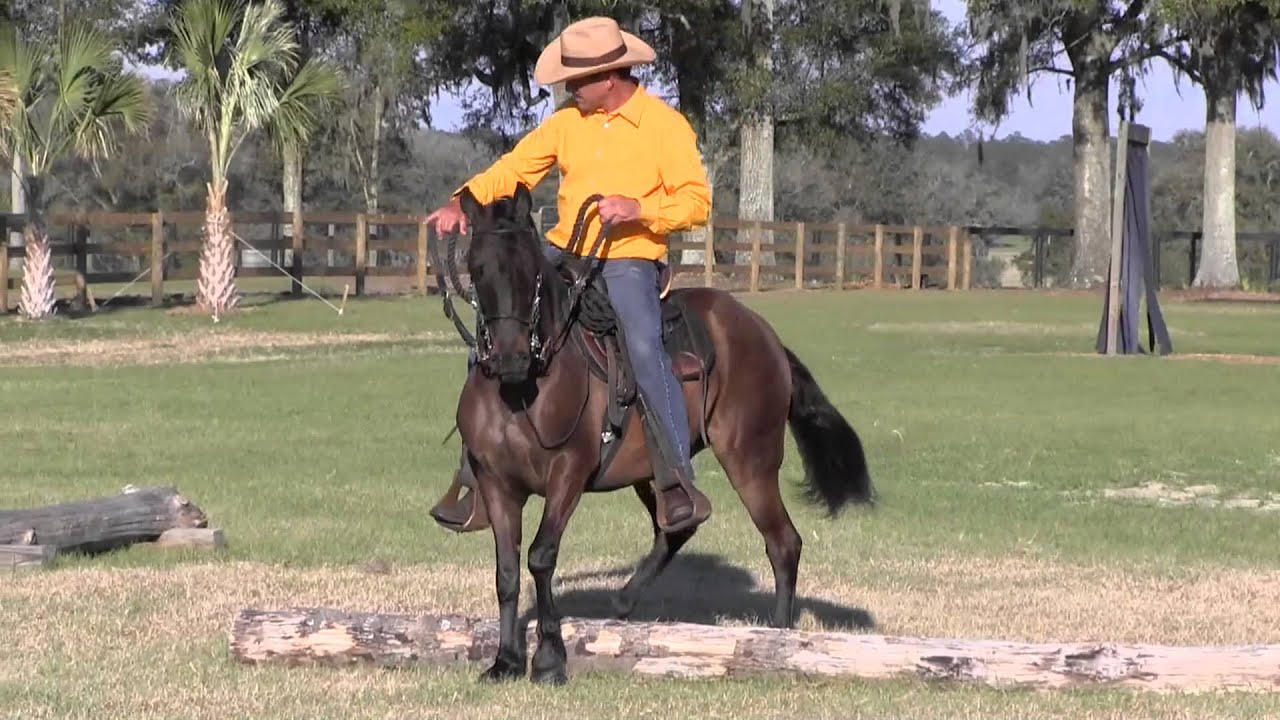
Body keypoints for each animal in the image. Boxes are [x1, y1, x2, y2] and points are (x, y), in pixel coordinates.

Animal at [435, 182, 873, 685]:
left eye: (531, 271)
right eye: (477, 268)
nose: (510, 357)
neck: (524, 391)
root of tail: (765, 335)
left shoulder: (567, 474)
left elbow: (541, 556)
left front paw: (548, 660)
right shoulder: (496, 482)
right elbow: (506, 571)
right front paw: (505, 660)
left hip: (751, 460)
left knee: (783, 543)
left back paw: (775, 643)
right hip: (654, 473)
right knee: (678, 526)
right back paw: (624, 601)